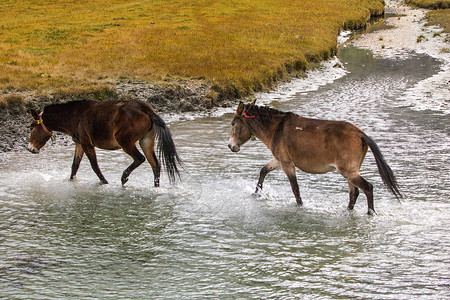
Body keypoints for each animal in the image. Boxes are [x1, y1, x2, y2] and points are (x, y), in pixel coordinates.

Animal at [28, 99, 181, 186]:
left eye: (31, 127)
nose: (30, 149)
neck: (74, 116)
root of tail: (147, 110)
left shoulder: (87, 144)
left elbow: (94, 165)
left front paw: (104, 182)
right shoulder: (79, 144)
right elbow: (74, 166)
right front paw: (71, 181)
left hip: (125, 141)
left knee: (140, 158)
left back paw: (124, 177)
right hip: (146, 141)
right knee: (155, 165)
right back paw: (155, 187)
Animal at [227, 102, 402, 214]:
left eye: (233, 123)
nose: (231, 146)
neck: (276, 128)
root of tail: (360, 133)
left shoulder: (286, 163)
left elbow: (295, 188)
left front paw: (300, 207)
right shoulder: (279, 160)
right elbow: (263, 171)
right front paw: (256, 193)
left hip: (348, 171)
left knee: (367, 188)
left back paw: (370, 213)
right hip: (351, 171)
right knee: (354, 193)